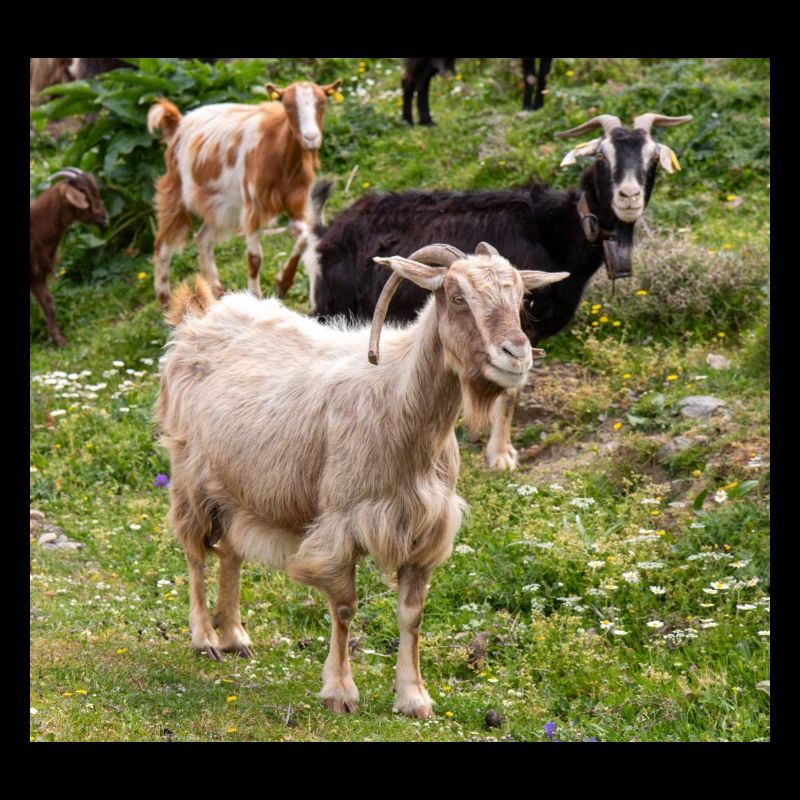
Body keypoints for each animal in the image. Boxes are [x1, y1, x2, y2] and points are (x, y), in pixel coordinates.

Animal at [30, 168, 109, 347]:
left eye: (95, 189)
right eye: (82, 192)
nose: (104, 216)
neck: (35, 226)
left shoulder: (37, 275)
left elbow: (48, 302)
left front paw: (59, 341)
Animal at [147, 78, 341, 308]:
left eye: (323, 103)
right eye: (287, 105)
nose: (311, 137)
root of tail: (177, 124)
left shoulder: (296, 202)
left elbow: (303, 237)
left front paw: (282, 284)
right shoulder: (253, 206)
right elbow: (254, 258)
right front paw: (256, 297)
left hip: (221, 206)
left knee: (202, 239)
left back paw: (217, 292)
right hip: (175, 191)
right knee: (163, 245)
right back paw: (165, 302)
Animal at [156, 244, 568, 718]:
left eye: (521, 297)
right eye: (456, 295)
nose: (516, 353)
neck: (398, 400)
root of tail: (201, 315)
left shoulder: (425, 530)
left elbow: (412, 615)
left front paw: (413, 697)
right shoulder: (342, 524)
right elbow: (345, 608)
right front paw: (340, 691)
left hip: (239, 484)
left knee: (230, 551)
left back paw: (235, 635)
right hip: (190, 475)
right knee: (195, 552)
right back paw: (205, 638)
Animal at [304, 111, 692, 469]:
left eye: (652, 158)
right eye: (602, 157)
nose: (629, 197)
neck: (556, 231)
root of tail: (326, 233)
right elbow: (508, 391)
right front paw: (500, 455)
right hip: (334, 308)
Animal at [402, 58, 552, 126]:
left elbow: (543, 74)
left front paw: (538, 106)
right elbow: (530, 76)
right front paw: (527, 107)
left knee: (423, 80)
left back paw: (426, 121)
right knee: (409, 81)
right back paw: (408, 121)